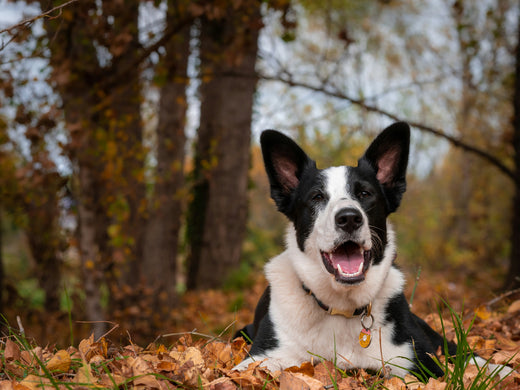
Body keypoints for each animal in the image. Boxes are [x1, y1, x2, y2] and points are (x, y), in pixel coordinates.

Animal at [236, 122, 512, 378]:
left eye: (365, 193)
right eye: (317, 197)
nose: (349, 218)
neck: (342, 308)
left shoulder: (419, 360)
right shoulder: (261, 357)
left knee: (459, 351)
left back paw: (499, 369)